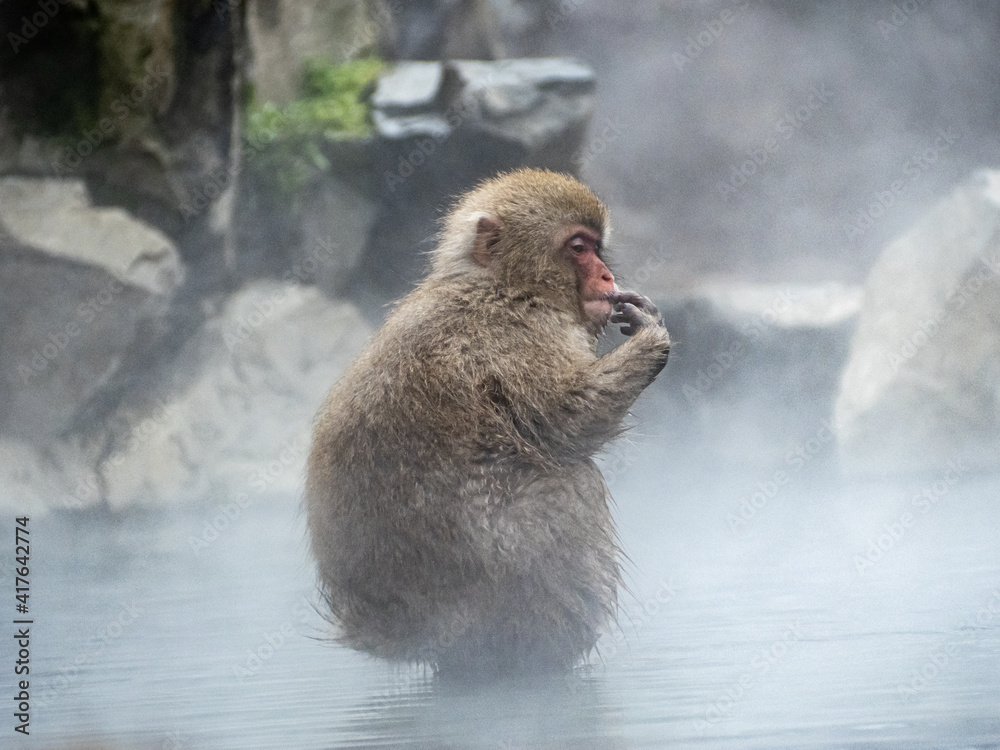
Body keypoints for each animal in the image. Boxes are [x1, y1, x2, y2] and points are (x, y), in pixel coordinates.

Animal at [306, 168, 670, 679]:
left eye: (598, 248)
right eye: (579, 247)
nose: (606, 275)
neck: (504, 284)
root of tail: (399, 633)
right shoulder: (518, 333)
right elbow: (567, 421)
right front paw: (652, 340)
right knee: (570, 483)